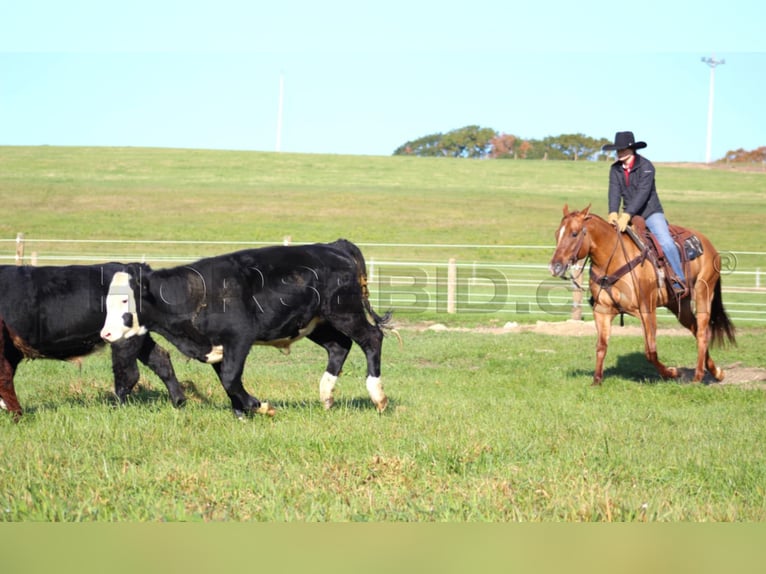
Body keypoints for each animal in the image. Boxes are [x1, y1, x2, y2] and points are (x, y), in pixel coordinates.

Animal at [100, 240, 396, 418]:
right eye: (107, 300)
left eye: (125, 300)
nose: (106, 334)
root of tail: (335, 246)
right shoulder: (216, 347)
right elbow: (226, 379)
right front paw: (241, 411)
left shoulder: (239, 339)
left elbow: (231, 377)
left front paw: (258, 406)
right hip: (316, 323)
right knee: (339, 347)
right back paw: (326, 396)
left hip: (345, 312)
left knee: (372, 338)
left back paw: (378, 397)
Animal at [548, 205, 736, 390]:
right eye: (557, 233)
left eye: (574, 233)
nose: (554, 267)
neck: (614, 259)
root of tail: (707, 244)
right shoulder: (602, 311)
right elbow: (601, 346)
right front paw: (596, 380)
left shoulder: (647, 310)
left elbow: (650, 351)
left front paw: (672, 372)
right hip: (679, 305)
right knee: (695, 330)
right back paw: (716, 372)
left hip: (704, 293)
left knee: (703, 333)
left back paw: (697, 378)